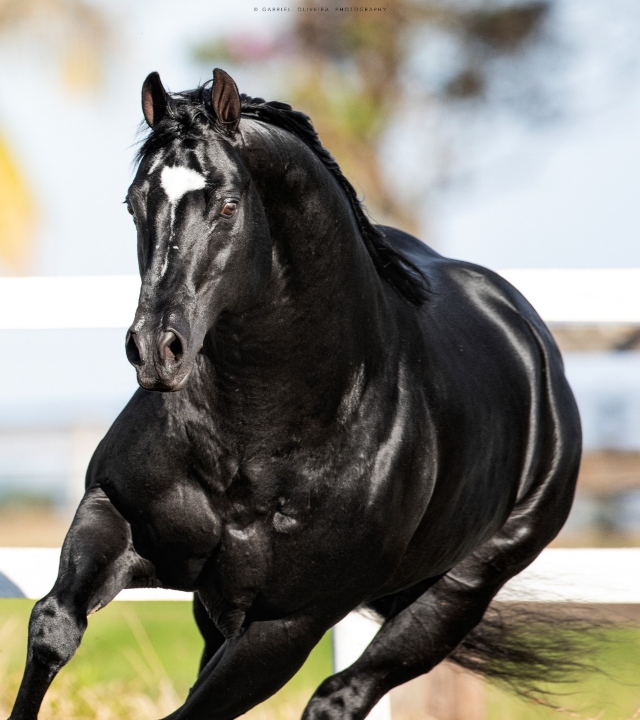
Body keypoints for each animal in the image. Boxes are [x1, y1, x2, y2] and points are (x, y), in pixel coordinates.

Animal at [7, 69, 584, 720]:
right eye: (135, 202)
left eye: (229, 204)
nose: (155, 349)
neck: (259, 439)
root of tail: (531, 342)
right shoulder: (113, 515)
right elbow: (54, 626)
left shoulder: (286, 627)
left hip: (456, 595)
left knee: (342, 695)